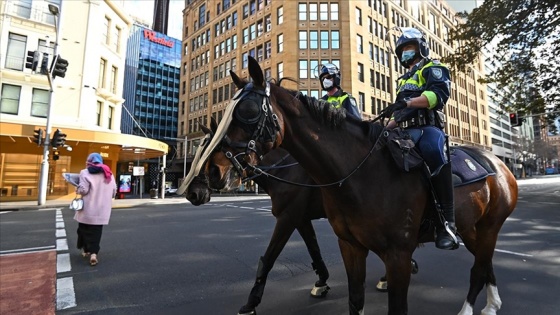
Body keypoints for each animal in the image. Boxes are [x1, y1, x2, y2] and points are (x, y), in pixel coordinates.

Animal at [200, 57, 516, 315]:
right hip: (472, 227)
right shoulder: (344, 242)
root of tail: (499, 164)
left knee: (478, 268)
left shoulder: (395, 253)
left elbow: (269, 257)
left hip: (489, 227)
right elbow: (344, 287)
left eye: (249, 109)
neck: (360, 173)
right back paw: (492, 304)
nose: (212, 174)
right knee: (484, 263)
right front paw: (320, 282)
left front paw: (251, 302)